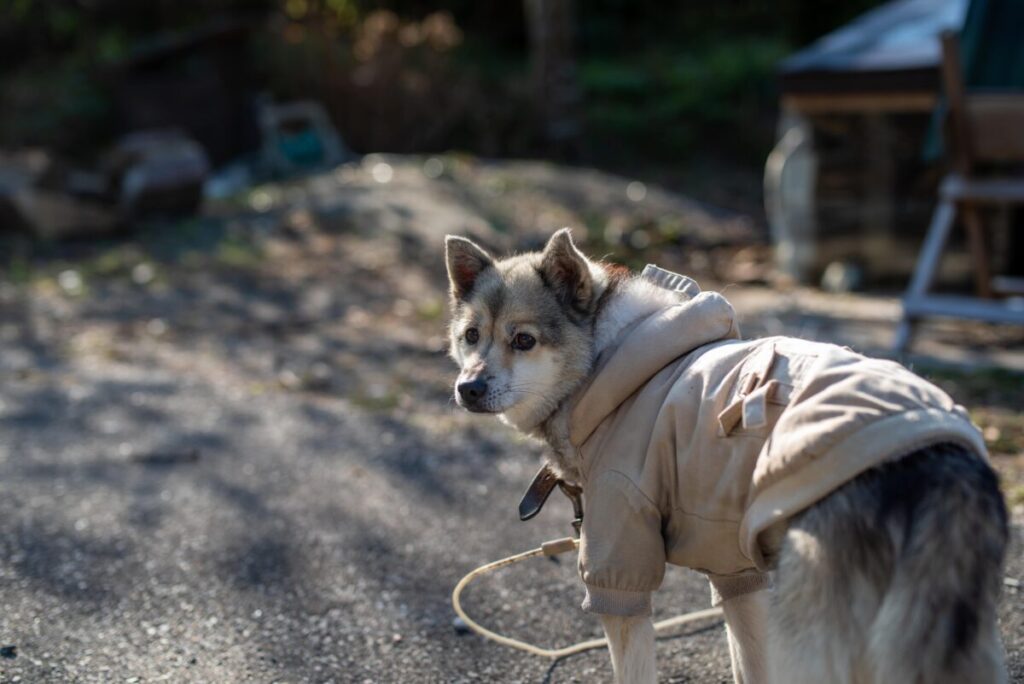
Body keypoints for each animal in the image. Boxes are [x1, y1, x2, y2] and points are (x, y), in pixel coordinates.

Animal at [446, 229, 1007, 684]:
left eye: (524, 340)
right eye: (471, 336)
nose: (468, 388)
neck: (606, 359)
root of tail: (939, 460)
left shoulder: (622, 562)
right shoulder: (737, 575)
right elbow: (751, 662)